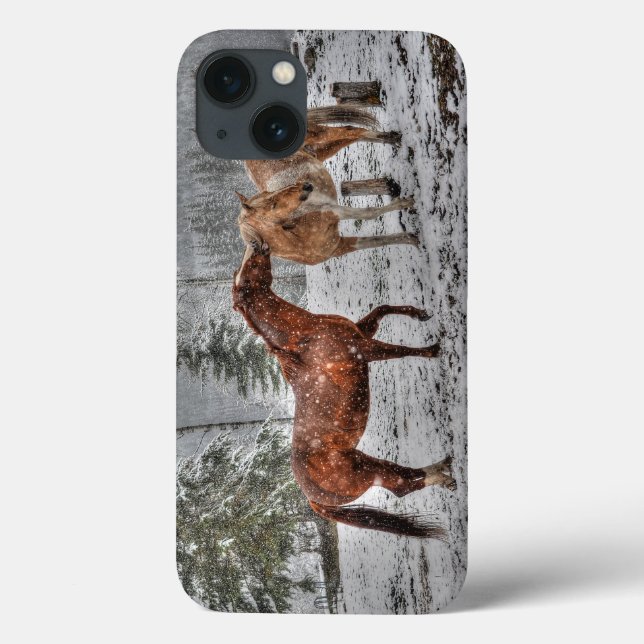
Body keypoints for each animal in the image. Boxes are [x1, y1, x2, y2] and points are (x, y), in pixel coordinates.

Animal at [232, 240, 456, 539]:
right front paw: (433, 349)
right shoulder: (364, 350)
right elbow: (401, 351)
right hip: (368, 470)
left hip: (369, 464)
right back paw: (444, 475)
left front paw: (419, 314)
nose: (257, 245)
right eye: (247, 272)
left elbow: (382, 308)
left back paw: (445, 468)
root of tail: (312, 499)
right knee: (403, 485)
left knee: (404, 479)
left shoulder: (362, 333)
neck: (305, 338)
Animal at [235, 106, 419, 266]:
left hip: (321, 136)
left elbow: (370, 213)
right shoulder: (339, 246)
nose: (306, 186)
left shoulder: (333, 210)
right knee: (354, 134)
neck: (301, 239)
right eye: (273, 204)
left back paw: (394, 139)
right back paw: (393, 139)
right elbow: (376, 240)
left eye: (269, 194)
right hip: (323, 149)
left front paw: (406, 203)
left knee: (352, 130)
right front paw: (412, 239)